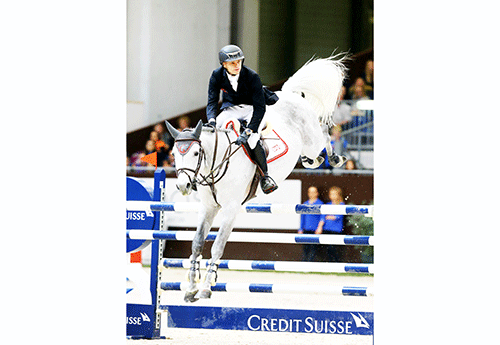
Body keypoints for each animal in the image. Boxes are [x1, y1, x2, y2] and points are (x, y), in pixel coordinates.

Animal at [166, 55, 346, 300]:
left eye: (195, 153)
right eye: (174, 154)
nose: (183, 185)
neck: (216, 164)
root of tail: (288, 94)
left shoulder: (231, 208)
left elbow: (217, 245)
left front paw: (206, 286)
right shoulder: (208, 207)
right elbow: (196, 243)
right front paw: (191, 286)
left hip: (311, 139)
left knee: (325, 134)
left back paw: (335, 158)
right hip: (307, 147)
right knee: (314, 157)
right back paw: (313, 160)